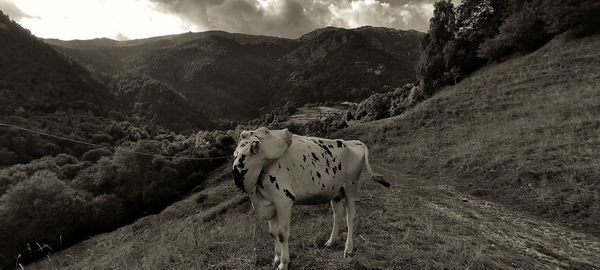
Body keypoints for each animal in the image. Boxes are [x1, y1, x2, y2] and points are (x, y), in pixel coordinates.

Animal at [230, 127, 390, 270]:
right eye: (267, 131)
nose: (288, 131)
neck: (254, 189)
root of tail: (351, 142)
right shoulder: (269, 205)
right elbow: (272, 233)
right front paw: (276, 258)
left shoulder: (283, 201)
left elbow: (282, 234)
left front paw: (283, 263)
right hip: (336, 191)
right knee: (337, 216)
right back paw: (330, 242)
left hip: (350, 186)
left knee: (350, 217)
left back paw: (348, 249)